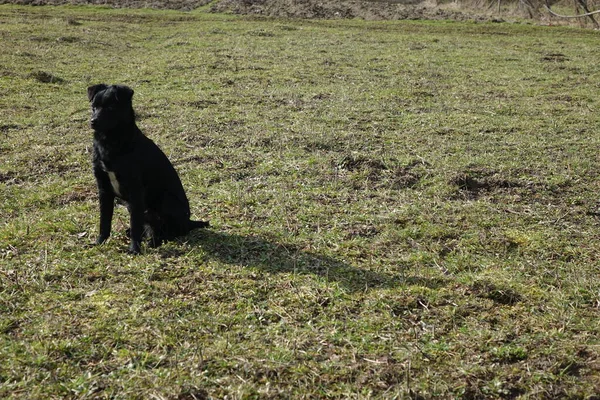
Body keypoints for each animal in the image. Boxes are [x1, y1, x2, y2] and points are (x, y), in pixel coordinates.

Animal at [86, 84, 209, 253]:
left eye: (110, 107)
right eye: (94, 107)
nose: (93, 122)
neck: (111, 142)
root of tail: (190, 221)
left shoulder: (135, 190)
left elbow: (135, 225)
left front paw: (134, 249)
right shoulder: (104, 188)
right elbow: (104, 221)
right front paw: (99, 242)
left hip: (165, 199)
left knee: (170, 232)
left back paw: (155, 241)